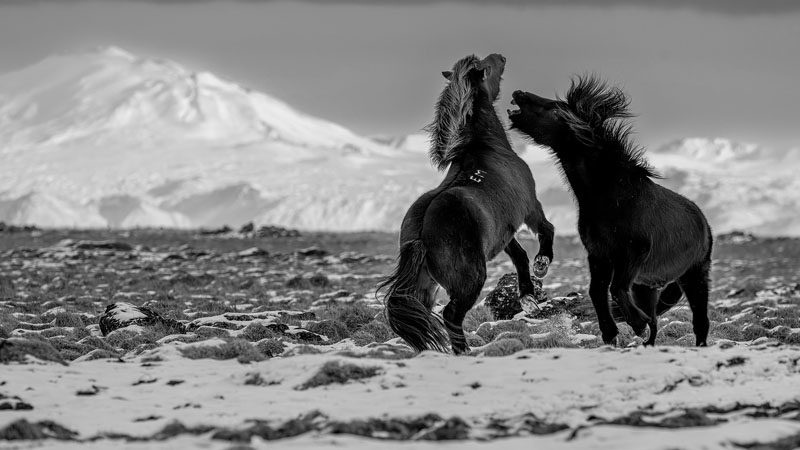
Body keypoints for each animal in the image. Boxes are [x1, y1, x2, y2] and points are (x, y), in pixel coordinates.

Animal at [378, 53, 555, 355]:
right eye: (488, 66)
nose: (502, 56)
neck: (487, 148)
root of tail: (421, 232)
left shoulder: (504, 231)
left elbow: (519, 256)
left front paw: (528, 299)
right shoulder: (531, 208)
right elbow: (547, 231)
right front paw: (541, 266)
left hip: (425, 285)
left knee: (422, 314)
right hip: (470, 280)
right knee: (451, 314)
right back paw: (464, 352)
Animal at [507, 75, 712, 347]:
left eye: (555, 110)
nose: (518, 93)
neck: (612, 198)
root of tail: (703, 222)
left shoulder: (631, 254)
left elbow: (614, 289)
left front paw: (636, 325)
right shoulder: (599, 255)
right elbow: (597, 291)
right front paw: (610, 333)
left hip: (694, 275)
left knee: (700, 321)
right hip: (646, 286)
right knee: (655, 320)